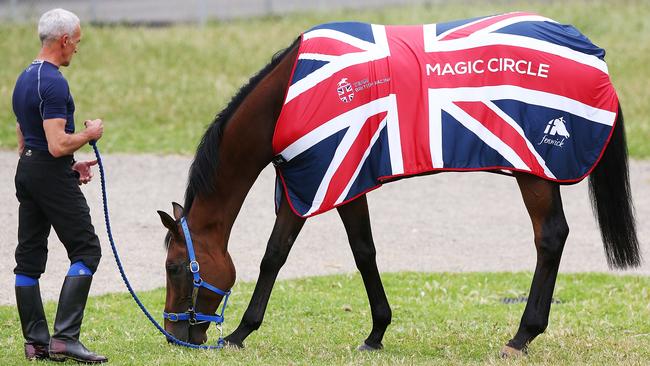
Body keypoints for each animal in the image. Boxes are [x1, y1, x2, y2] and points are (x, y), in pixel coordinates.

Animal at [157, 15, 636, 358]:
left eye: (175, 267)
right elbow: (364, 251)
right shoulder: (343, 182)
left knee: (550, 237)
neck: (284, 101)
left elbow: (274, 255)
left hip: (534, 169)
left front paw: (240, 332)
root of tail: (591, 51)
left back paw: (521, 336)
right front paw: (377, 332)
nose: (175, 333)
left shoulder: (319, 180)